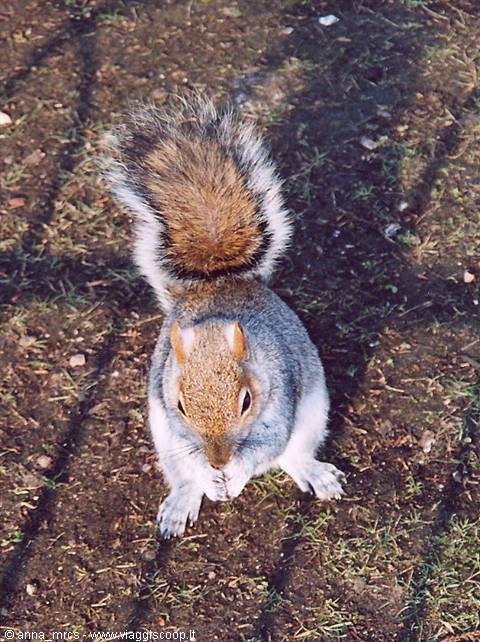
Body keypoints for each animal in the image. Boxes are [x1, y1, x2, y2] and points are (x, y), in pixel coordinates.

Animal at [103, 93, 345, 538]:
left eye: (246, 400)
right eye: (181, 404)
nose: (218, 461)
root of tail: (216, 280)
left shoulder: (280, 396)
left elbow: (267, 446)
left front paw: (238, 471)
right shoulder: (173, 420)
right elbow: (194, 460)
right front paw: (209, 478)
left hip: (311, 415)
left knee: (290, 455)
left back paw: (311, 472)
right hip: (165, 440)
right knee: (182, 473)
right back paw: (184, 498)